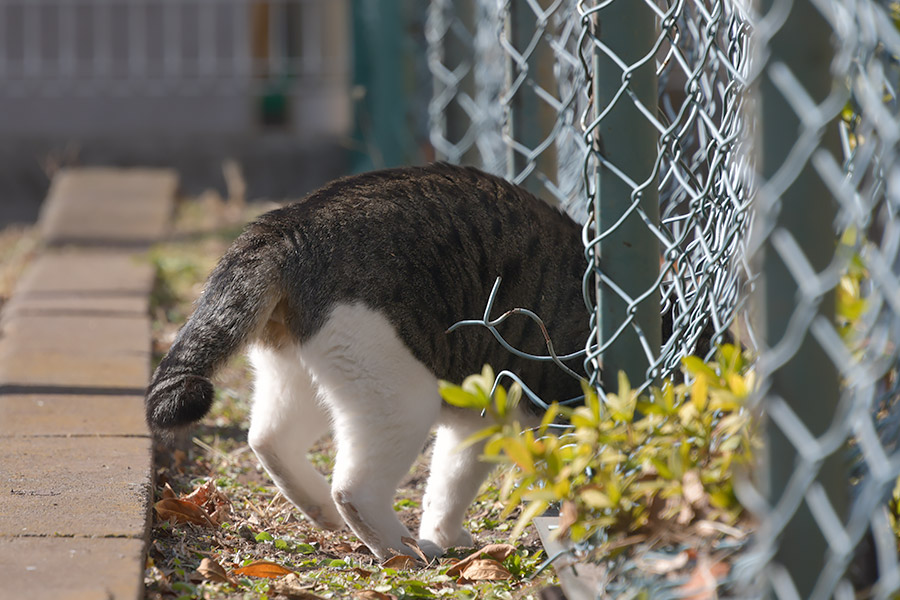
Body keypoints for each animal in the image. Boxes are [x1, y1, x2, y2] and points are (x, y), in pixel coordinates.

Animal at [144, 161, 588, 564]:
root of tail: (291, 222)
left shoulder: (480, 414)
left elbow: (450, 483)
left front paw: (444, 534)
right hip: (401, 392)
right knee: (353, 489)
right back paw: (401, 550)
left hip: (302, 374)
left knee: (268, 438)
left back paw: (321, 508)